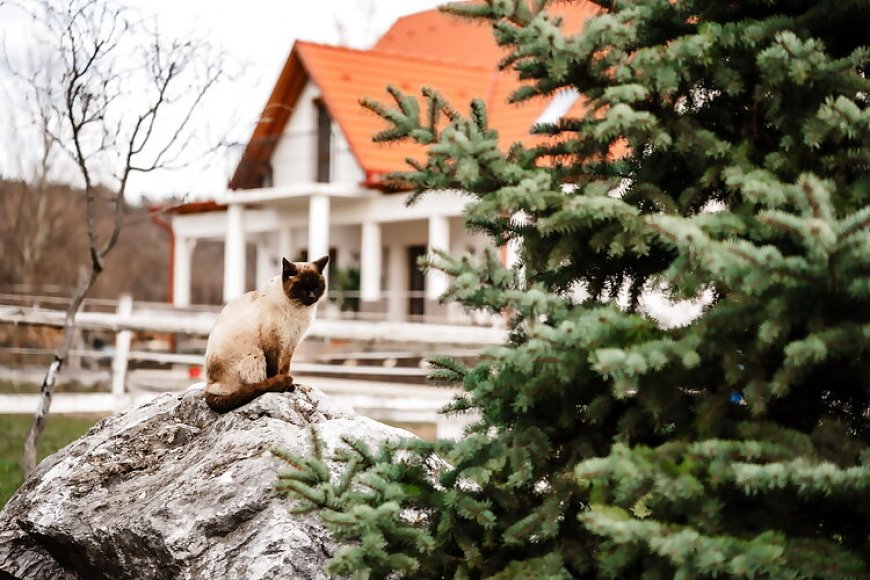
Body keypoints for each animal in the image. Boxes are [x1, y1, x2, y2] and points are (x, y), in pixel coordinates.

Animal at [204, 255, 330, 412]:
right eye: (302, 288)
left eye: (316, 287)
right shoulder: (273, 343)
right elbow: (274, 370)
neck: (297, 309)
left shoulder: (290, 343)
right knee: (248, 388)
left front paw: (290, 385)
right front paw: (286, 387)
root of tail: (209, 387)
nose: (312, 297)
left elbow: (285, 368)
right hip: (256, 355)